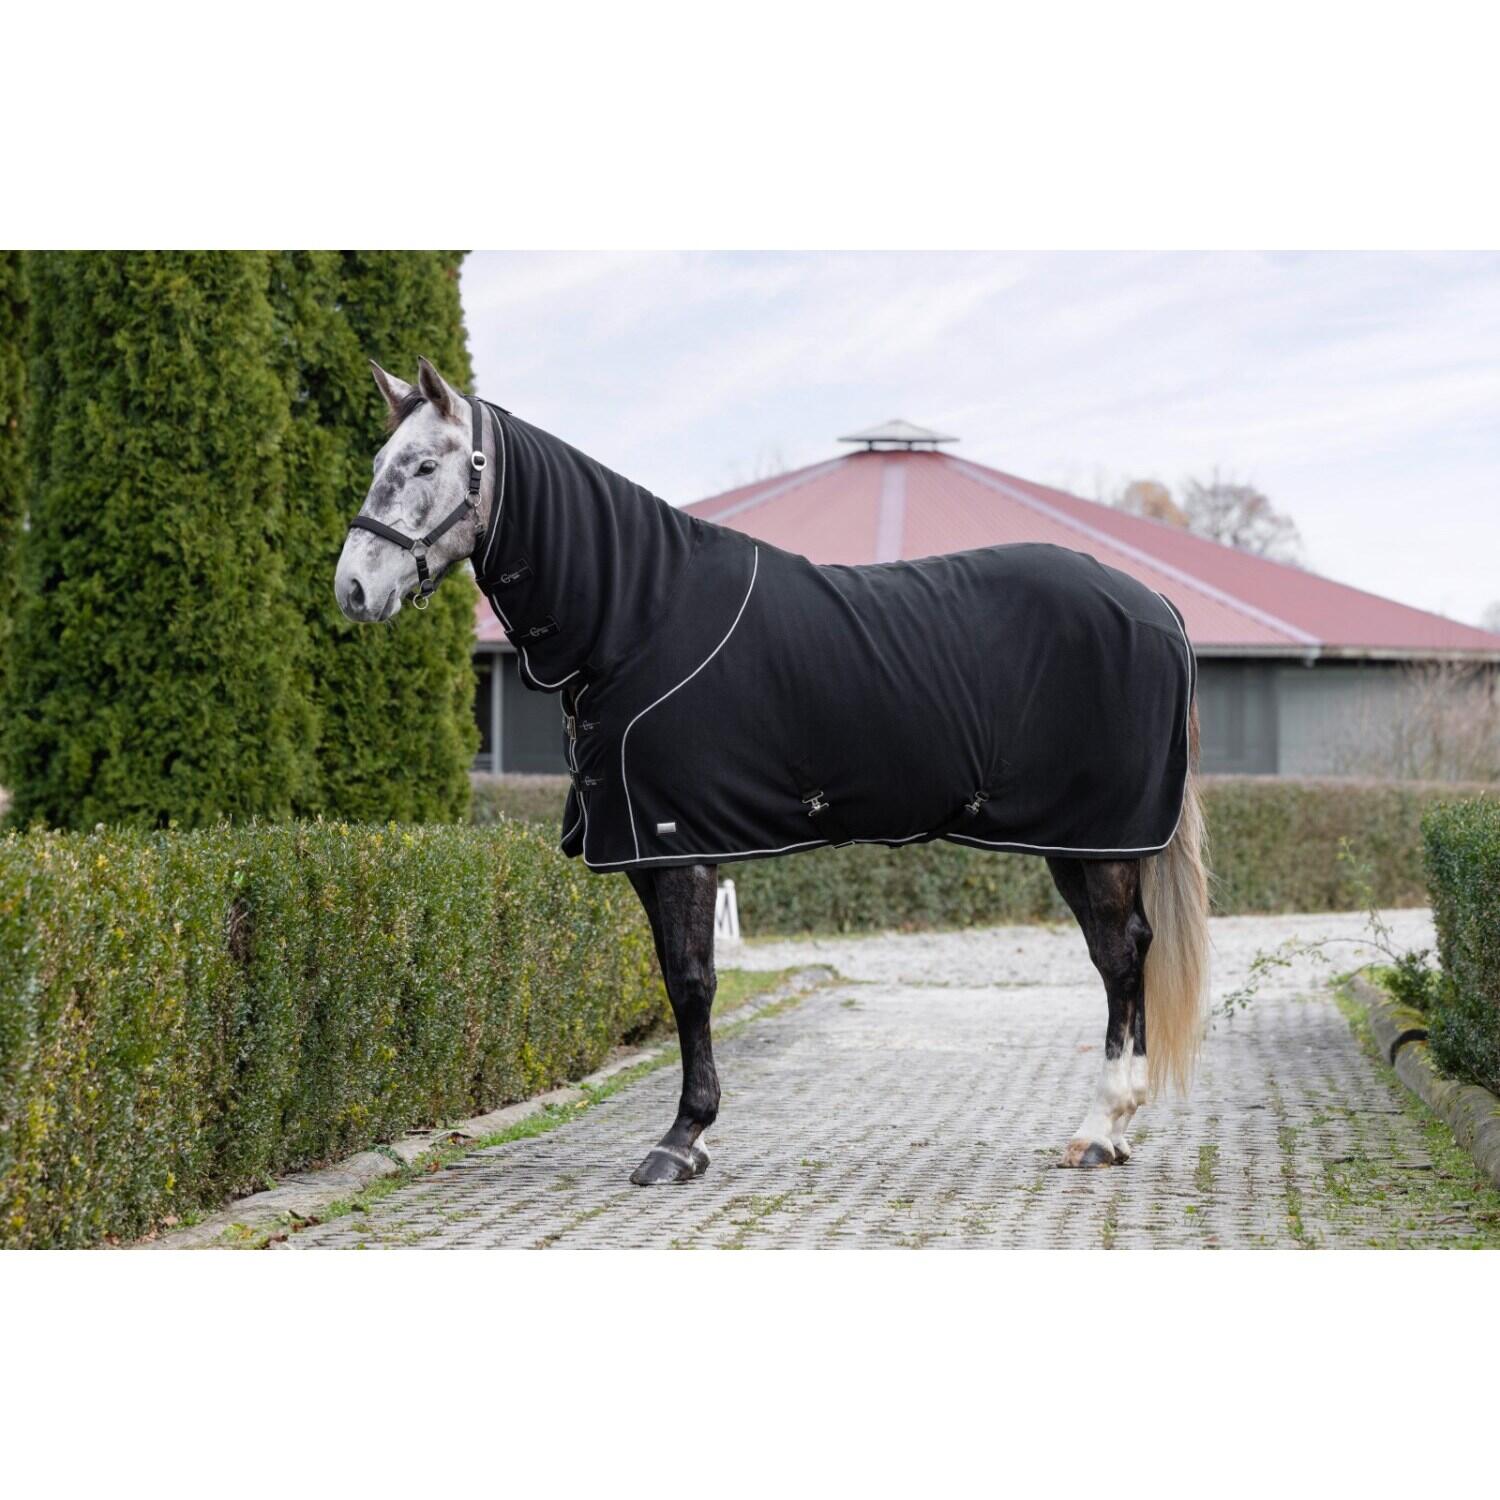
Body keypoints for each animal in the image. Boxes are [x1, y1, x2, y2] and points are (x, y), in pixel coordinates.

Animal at [335, 357, 1210, 1187]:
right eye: (380, 459)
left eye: (423, 465)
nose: (353, 588)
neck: (640, 619)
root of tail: (1159, 607)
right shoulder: (646, 853)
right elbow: (675, 977)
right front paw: (693, 1137)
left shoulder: (678, 845)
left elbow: (692, 983)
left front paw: (681, 1140)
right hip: (1077, 842)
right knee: (1117, 952)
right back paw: (1111, 1133)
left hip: (1097, 838)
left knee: (1122, 956)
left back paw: (1100, 1128)